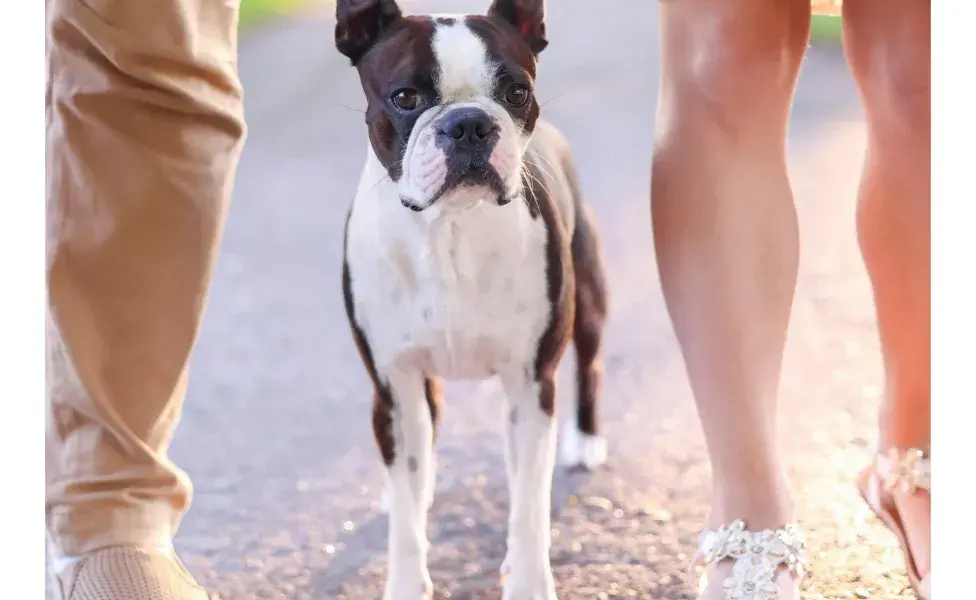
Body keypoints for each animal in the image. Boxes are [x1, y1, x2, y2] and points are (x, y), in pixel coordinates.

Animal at [340, 2, 608, 596]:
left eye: (516, 92)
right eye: (405, 97)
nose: (469, 123)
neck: (449, 228)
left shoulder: (532, 383)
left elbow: (528, 506)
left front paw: (529, 582)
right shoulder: (393, 385)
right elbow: (407, 515)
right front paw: (406, 579)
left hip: (589, 302)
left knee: (589, 365)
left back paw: (585, 441)